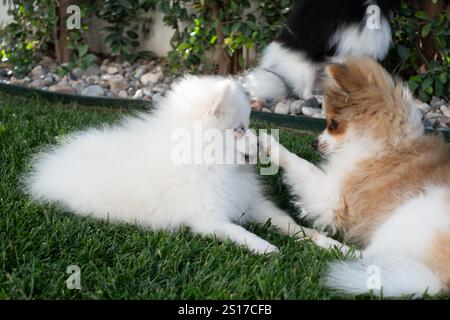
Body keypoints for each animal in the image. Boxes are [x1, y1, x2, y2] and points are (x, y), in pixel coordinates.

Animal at [25, 75, 316, 255]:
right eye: (239, 129)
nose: (260, 144)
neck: (209, 161)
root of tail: (53, 162)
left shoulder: (250, 202)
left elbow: (289, 222)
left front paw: (320, 240)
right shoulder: (208, 218)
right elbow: (239, 231)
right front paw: (267, 248)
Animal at [256, 58, 450, 298]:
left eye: (334, 124)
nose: (313, 143)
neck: (388, 144)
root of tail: (440, 280)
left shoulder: (334, 197)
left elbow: (302, 164)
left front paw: (271, 144)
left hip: (406, 215)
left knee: (366, 257)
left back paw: (320, 241)